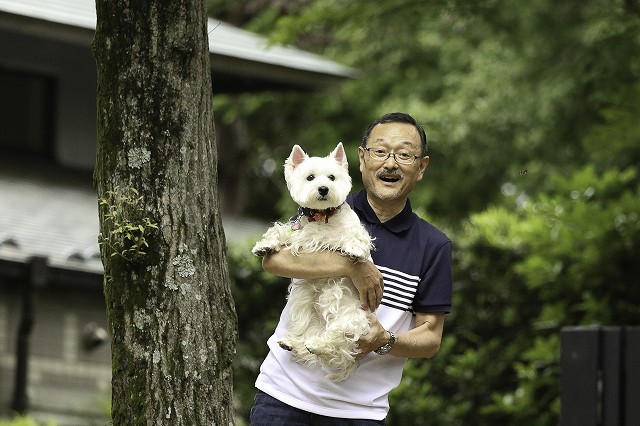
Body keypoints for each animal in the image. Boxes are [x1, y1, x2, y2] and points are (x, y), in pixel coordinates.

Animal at [251, 143, 372, 382]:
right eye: (310, 177)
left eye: (332, 177)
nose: (323, 189)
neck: (322, 216)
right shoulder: (298, 235)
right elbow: (279, 231)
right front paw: (264, 246)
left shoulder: (348, 230)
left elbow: (355, 236)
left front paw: (354, 250)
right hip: (305, 306)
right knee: (309, 335)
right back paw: (293, 343)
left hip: (351, 319)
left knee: (338, 339)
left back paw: (318, 345)